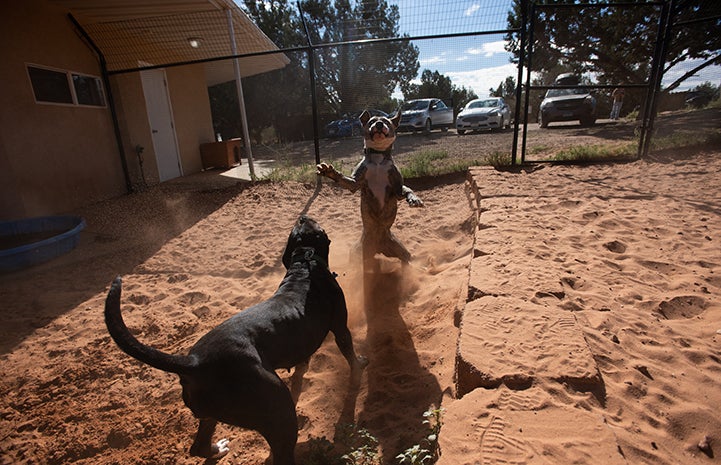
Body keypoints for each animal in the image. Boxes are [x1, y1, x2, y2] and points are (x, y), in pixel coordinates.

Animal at [104, 216, 368, 462]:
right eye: (310, 226)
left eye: (298, 228)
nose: (303, 216)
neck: (304, 266)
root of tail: (194, 361)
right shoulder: (340, 327)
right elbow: (351, 356)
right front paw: (360, 367)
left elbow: (303, 364)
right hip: (277, 407)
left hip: (211, 412)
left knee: (198, 447)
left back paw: (216, 449)